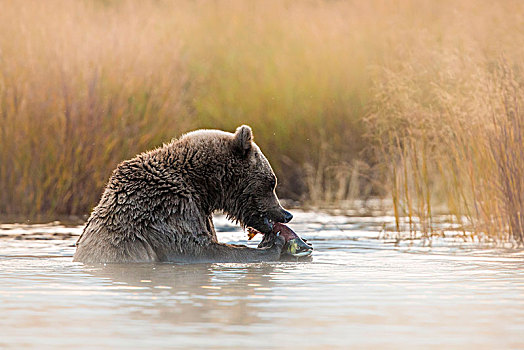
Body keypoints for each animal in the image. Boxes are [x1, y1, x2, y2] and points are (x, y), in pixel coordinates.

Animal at [72, 125, 294, 262]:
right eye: (272, 183)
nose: (287, 214)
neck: (203, 185)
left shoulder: (198, 210)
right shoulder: (168, 207)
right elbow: (195, 248)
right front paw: (273, 245)